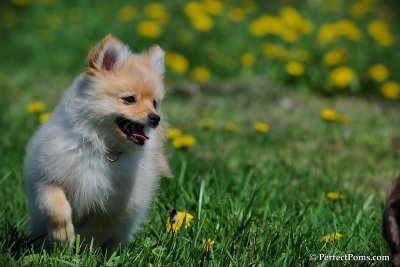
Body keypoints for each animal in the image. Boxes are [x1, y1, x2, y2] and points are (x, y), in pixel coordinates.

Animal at [23, 34, 170, 250]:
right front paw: (63, 236)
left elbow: (94, 232)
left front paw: (80, 250)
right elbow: (56, 206)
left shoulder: (112, 208)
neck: (101, 148)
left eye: (154, 103)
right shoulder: (47, 176)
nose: (155, 118)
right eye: (129, 99)